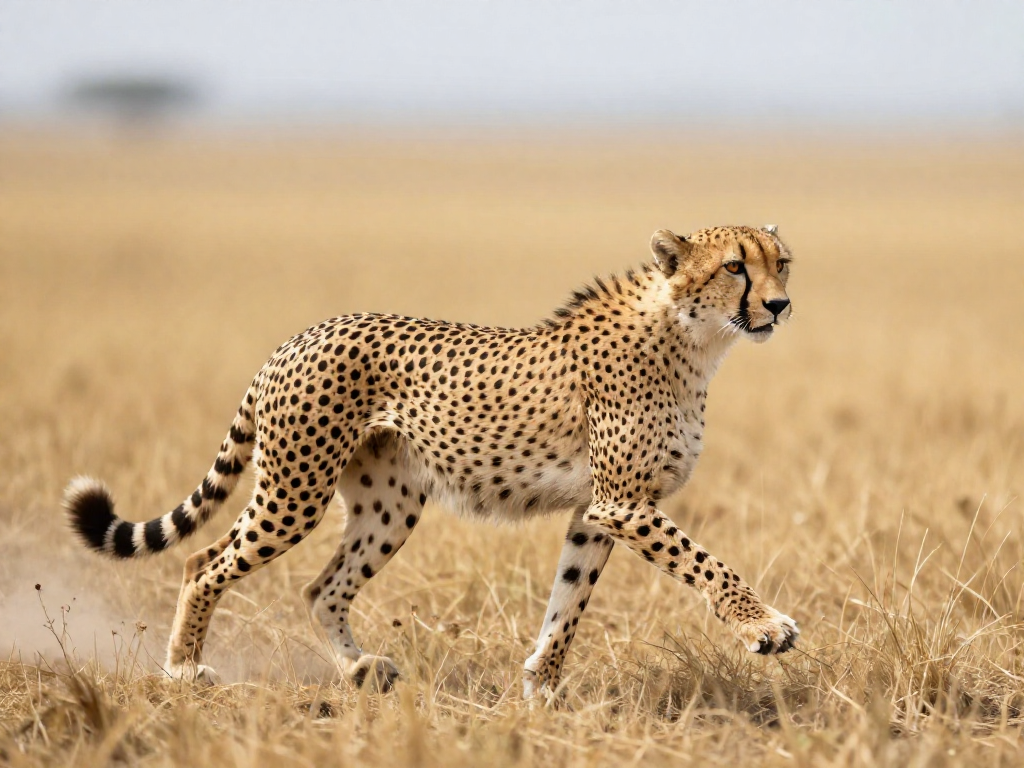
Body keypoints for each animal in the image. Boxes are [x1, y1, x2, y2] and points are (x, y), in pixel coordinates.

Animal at [64, 225, 799, 697]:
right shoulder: (623, 502)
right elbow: (705, 563)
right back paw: (184, 672)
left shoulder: (599, 510)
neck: (693, 337)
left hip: (387, 505)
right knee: (203, 562)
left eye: (782, 262)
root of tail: (299, 336)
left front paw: (540, 688)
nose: (779, 304)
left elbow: (569, 600)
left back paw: (359, 671)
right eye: (734, 267)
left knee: (322, 587)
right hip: (295, 489)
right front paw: (763, 626)